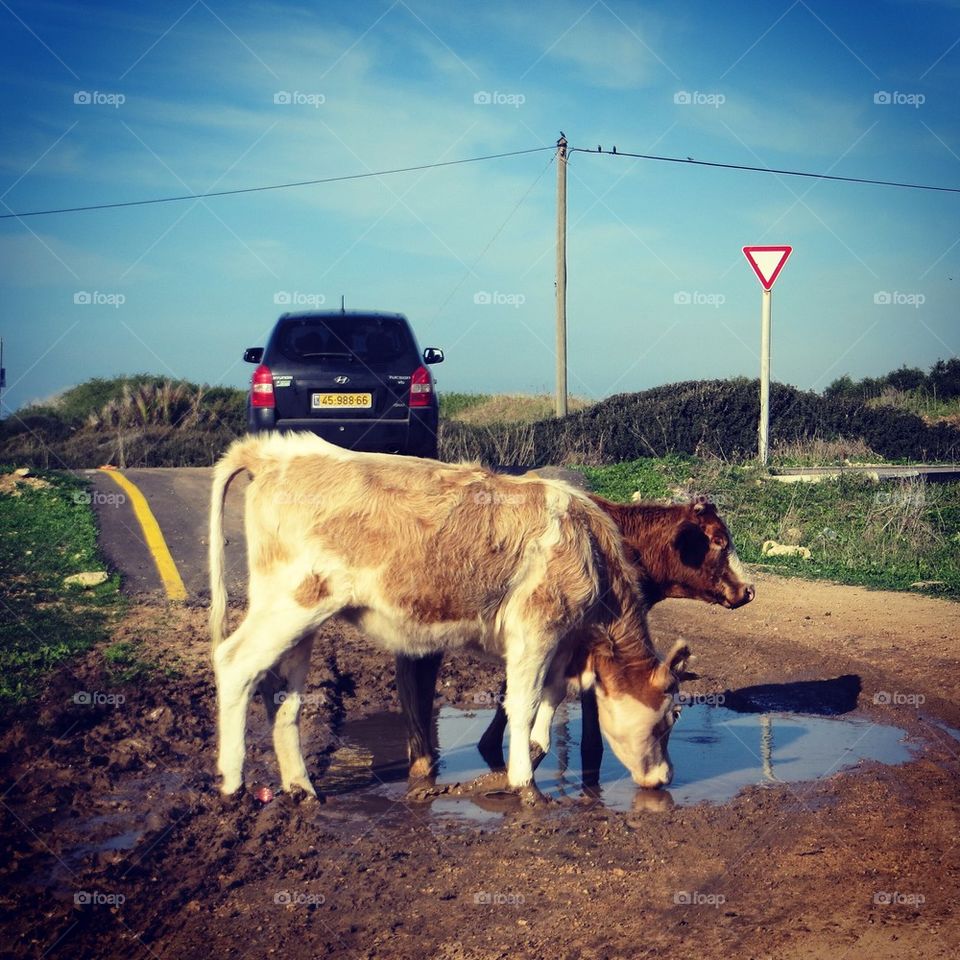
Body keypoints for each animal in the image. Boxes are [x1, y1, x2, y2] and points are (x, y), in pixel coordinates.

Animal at [208, 432, 692, 797]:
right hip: (291, 604)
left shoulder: (560, 644)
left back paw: (301, 787)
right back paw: (232, 783)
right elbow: (523, 703)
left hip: (300, 620)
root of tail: (276, 452)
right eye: (670, 717)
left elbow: (551, 697)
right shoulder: (535, 629)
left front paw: (534, 752)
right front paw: (523, 783)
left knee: (283, 694)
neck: (591, 547)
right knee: (234, 663)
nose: (665, 776)